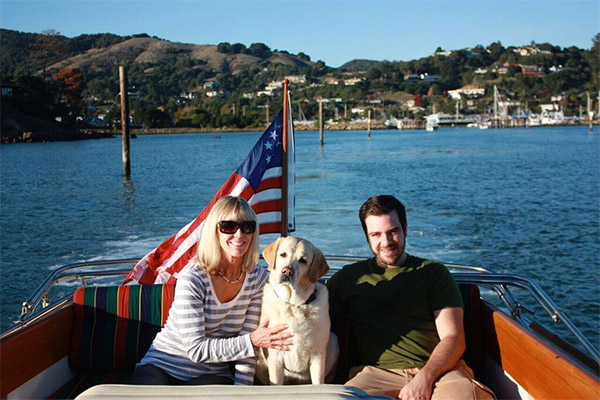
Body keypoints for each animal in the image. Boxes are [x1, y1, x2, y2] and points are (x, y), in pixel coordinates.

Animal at [253, 238, 338, 384]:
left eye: (303, 260)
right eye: (283, 254)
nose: (287, 271)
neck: (294, 305)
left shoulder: (318, 353)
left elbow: (318, 382)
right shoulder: (275, 353)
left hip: (333, 342)